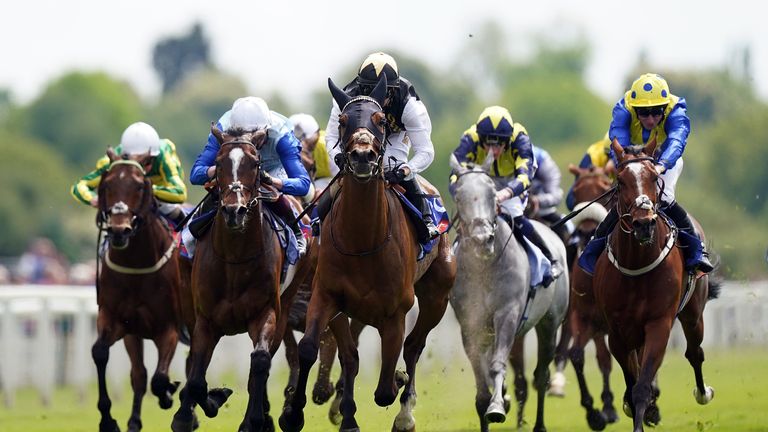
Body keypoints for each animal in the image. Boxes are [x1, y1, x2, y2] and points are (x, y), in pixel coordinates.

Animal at [92, 149, 188, 432]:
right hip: (133, 334)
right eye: (107, 184)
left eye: (138, 186)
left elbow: (160, 378)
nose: (119, 230)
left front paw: (168, 394)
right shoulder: (115, 321)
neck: (137, 264)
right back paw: (134, 421)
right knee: (139, 374)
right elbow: (100, 353)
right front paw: (108, 419)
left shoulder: (169, 328)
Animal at [172, 126, 316, 432]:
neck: (235, 259)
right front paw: (210, 400)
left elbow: (260, 362)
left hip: (285, 306)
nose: (234, 210)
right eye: (219, 163)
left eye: (255, 164)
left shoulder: (266, 312)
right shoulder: (206, 320)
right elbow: (197, 378)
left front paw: (253, 420)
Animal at [278, 76, 452, 430]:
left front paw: (396, 383)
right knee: (352, 356)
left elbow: (385, 388)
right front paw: (293, 412)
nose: (361, 156)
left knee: (414, 347)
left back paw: (404, 412)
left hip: (437, 297)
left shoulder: (396, 311)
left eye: (381, 120)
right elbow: (310, 349)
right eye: (344, 120)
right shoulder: (327, 297)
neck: (362, 242)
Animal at [448, 154, 568, 432]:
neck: (485, 268)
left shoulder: (507, 314)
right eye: (458, 195)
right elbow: (481, 381)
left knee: (542, 374)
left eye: (493, 193)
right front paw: (491, 403)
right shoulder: (470, 323)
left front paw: (496, 407)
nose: (483, 239)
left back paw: (539, 424)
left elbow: (496, 366)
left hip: (549, 324)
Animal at [592, 139, 712, 432]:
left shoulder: (659, 324)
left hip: (693, 314)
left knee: (695, 352)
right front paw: (631, 407)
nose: (644, 224)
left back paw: (703, 392)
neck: (637, 265)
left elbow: (642, 386)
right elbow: (632, 379)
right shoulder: (617, 332)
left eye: (653, 177)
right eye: (620, 181)